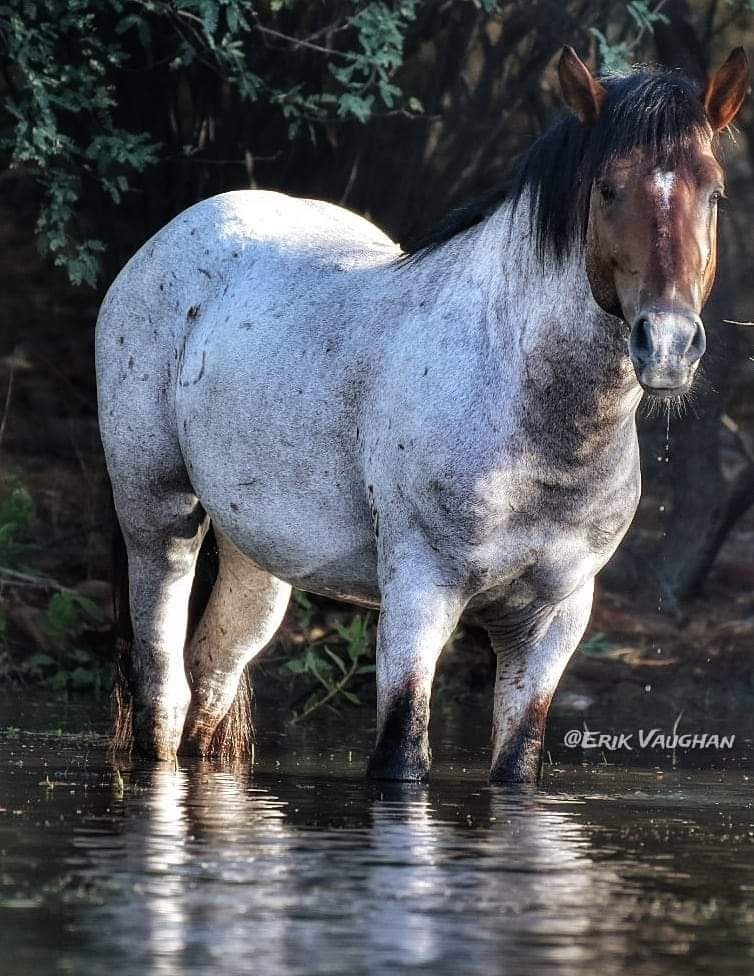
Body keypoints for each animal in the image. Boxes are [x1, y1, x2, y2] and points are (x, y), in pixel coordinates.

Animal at [98, 45, 748, 784]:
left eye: (714, 193)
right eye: (608, 189)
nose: (667, 344)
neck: (535, 422)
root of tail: (170, 237)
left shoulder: (553, 620)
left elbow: (517, 763)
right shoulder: (420, 593)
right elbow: (401, 755)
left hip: (254, 553)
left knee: (213, 677)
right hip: (157, 519)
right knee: (163, 691)